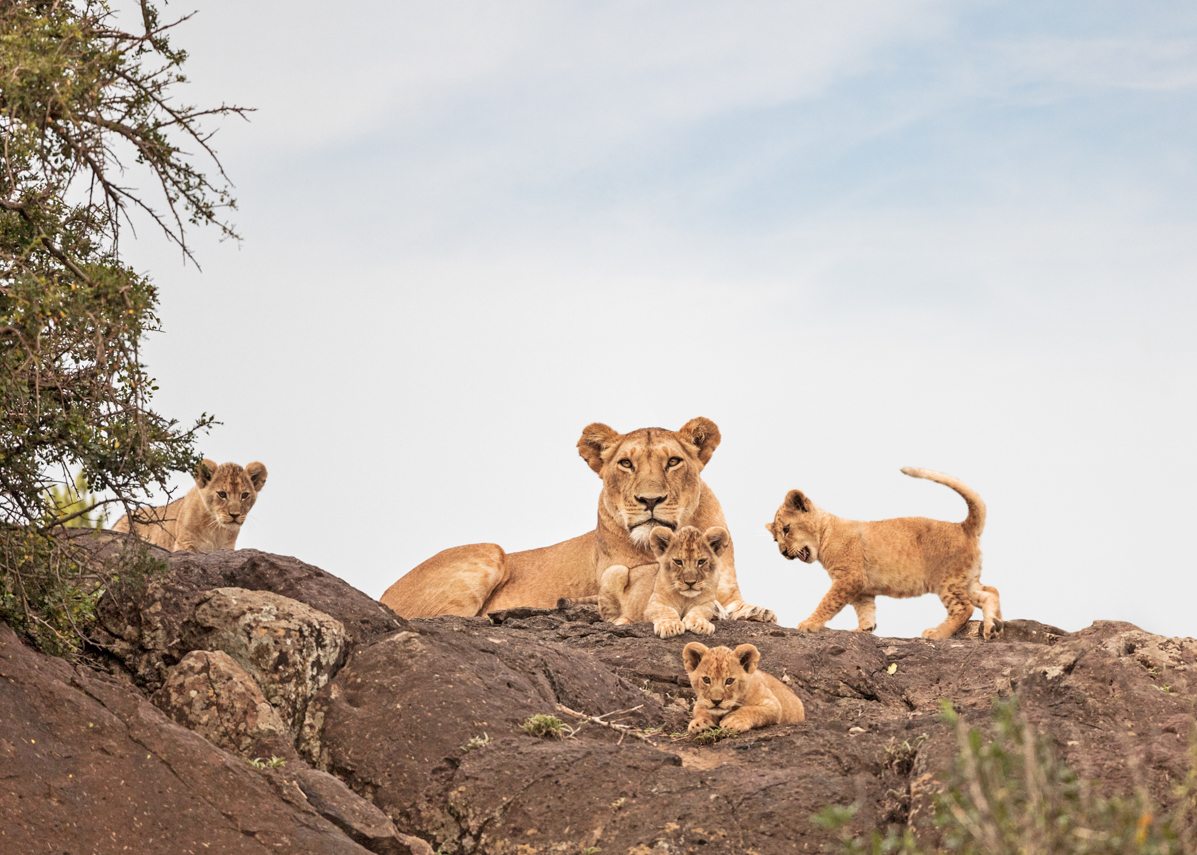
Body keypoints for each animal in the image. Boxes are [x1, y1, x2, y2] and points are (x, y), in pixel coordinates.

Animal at [112, 459, 267, 552]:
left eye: (244, 495)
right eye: (222, 494)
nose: (235, 515)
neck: (216, 530)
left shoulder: (227, 547)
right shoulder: (184, 544)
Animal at [380, 418, 775, 623]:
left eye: (674, 461)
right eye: (626, 463)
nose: (650, 500)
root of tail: (383, 593)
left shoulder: (726, 583)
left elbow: (735, 600)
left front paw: (754, 610)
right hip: (488, 550)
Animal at [593, 525, 729, 638]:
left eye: (701, 561)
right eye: (678, 562)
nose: (690, 582)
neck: (685, 598)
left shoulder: (706, 603)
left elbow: (701, 611)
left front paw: (700, 624)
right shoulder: (654, 604)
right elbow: (666, 610)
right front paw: (670, 626)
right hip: (615, 570)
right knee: (610, 618)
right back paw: (623, 621)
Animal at [766, 467, 1002, 640]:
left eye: (786, 529)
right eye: (775, 539)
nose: (783, 552)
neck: (826, 533)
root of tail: (964, 526)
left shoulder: (850, 577)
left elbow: (828, 602)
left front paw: (810, 623)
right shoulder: (862, 587)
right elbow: (865, 610)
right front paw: (863, 629)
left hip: (946, 580)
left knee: (964, 608)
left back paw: (936, 633)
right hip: (966, 579)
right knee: (990, 592)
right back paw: (994, 628)